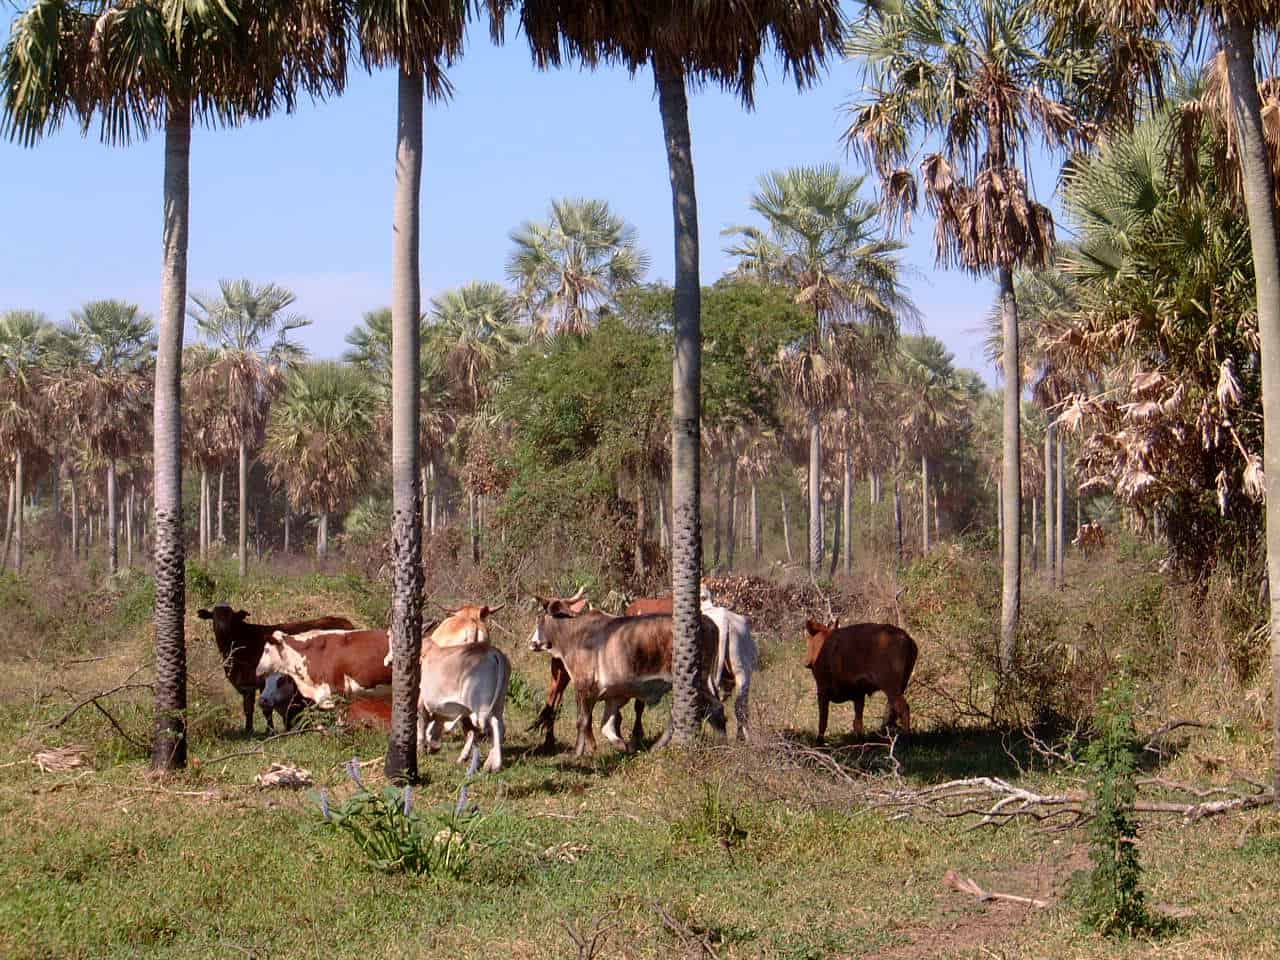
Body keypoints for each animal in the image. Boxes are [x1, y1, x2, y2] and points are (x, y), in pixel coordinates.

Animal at [195, 609, 355, 737]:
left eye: (231, 617)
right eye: (214, 616)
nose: (222, 628)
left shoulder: (256, 683)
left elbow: (263, 709)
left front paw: (267, 731)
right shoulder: (249, 685)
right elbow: (250, 708)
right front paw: (251, 730)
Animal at [527, 593, 727, 757]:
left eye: (539, 616)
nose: (532, 643)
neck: (574, 633)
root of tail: (708, 622)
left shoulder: (584, 687)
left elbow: (583, 721)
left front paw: (579, 753)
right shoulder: (614, 695)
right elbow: (606, 727)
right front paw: (625, 746)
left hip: (695, 680)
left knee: (712, 708)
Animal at [803, 619, 916, 747]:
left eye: (809, 639)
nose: (807, 662)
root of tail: (907, 638)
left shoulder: (822, 691)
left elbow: (823, 720)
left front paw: (819, 741)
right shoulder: (858, 695)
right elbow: (858, 722)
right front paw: (860, 742)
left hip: (891, 687)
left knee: (903, 708)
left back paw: (905, 740)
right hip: (901, 686)